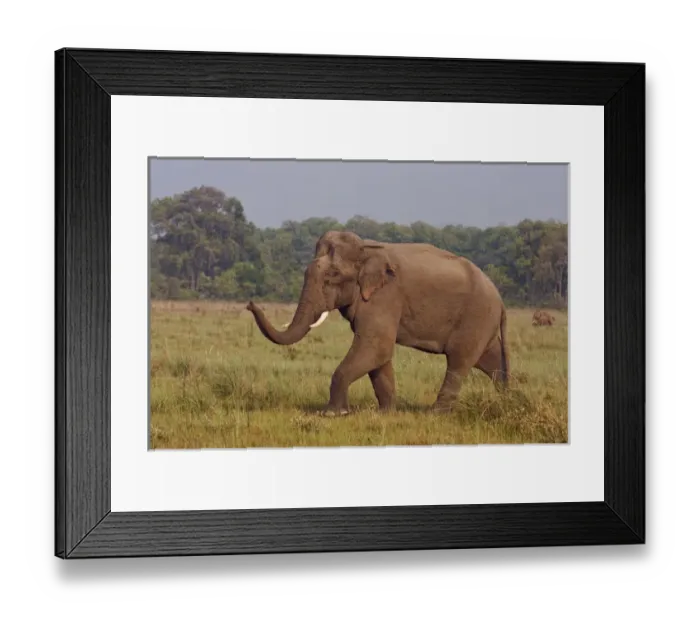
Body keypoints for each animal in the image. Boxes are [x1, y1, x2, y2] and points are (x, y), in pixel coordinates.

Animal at [246, 230, 510, 416]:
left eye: (333, 276)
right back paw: (509, 399)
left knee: (459, 360)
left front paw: (333, 414)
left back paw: (436, 414)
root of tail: (500, 300)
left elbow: (376, 346)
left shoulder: (385, 297)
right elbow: (378, 356)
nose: (249, 304)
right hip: (482, 323)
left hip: (476, 317)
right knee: (490, 360)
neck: (365, 249)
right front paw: (387, 413)